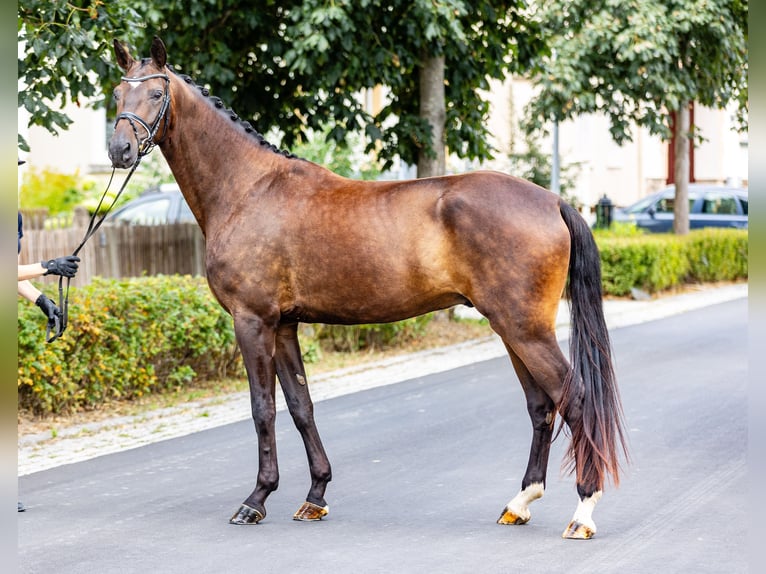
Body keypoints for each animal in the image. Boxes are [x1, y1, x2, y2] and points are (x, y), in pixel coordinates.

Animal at [108, 38, 632, 544]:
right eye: (115, 94)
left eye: (155, 94)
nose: (119, 151)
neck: (248, 188)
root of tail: (553, 200)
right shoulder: (285, 325)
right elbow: (300, 407)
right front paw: (315, 495)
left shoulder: (253, 321)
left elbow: (263, 409)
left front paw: (255, 500)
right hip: (512, 330)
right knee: (542, 407)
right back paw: (520, 503)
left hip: (525, 330)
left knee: (576, 401)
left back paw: (583, 513)